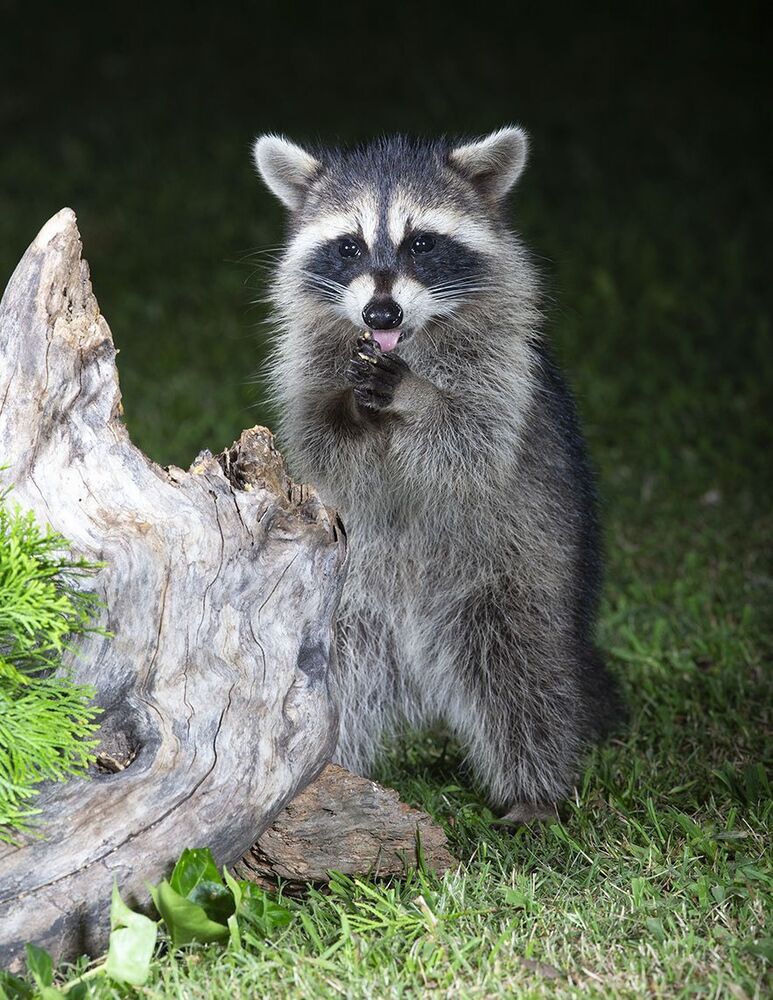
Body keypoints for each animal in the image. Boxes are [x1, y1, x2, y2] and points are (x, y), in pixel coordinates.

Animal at [253, 127, 621, 820]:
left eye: (421, 243)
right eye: (349, 246)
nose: (381, 315)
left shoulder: (506, 366)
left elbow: (472, 438)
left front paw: (419, 398)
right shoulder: (307, 364)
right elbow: (320, 438)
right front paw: (348, 409)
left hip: (516, 570)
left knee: (524, 675)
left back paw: (534, 790)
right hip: (347, 601)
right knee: (331, 680)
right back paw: (326, 775)